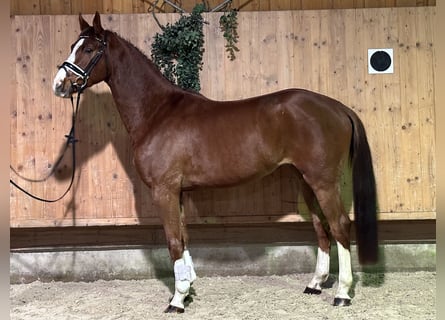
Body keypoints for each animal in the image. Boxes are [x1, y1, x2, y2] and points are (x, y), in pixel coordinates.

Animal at [53, 13, 376, 312]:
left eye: (90, 49)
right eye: (72, 46)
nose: (60, 84)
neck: (157, 112)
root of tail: (337, 107)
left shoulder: (164, 190)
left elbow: (173, 241)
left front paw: (177, 300)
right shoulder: (178, 192)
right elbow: (184, 237)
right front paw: (188, 289)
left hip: (323, 181)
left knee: (339, 225)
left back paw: (342, 294)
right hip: (305, 180)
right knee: (322, 226)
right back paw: (315, 284)